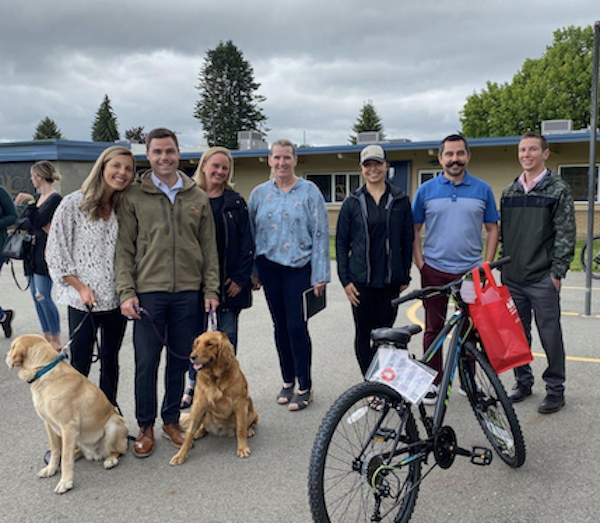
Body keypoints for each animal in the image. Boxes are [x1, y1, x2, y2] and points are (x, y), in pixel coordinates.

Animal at [5, 336, 127, 496]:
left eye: (12, 347)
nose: (5, 356)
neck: (43, 371)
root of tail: (95, 453)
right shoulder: (49, 424)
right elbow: (56, 450)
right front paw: (51, 468)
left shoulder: (68, 427)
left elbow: (66, 461)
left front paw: (65, 482)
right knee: (76, 451)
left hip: (113, 423)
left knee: (119, 450)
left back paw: (110, 459)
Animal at [171, 332, 260, 466]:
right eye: (196, 344)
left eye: (209, 344)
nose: (192, 357)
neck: (215, 378)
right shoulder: (198, 406)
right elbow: (188, 433)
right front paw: (180, 455)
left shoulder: (239, 404)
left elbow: (240, 429)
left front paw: (242, 448)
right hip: (206, 414)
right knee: (202, 426)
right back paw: (199, 432)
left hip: (250, 410)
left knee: (247, 424)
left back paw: (249, 430)